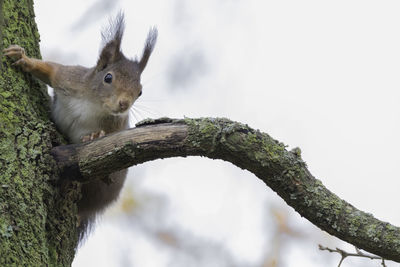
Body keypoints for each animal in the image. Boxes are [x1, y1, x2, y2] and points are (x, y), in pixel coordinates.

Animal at [4, 12, 159, 242]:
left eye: (139, 92)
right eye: (108, 77)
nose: (124, 104)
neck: (93, 103)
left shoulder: (117, 125)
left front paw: (94, 135)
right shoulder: (70, 78)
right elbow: (51, 70)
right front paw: (23, 58)